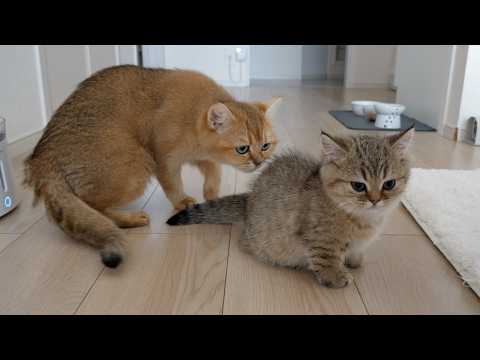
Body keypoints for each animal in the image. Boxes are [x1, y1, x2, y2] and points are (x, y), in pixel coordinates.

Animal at [24, 64, 282, 268]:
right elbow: (172, 184)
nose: (259, 162)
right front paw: (182, 202)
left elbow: (213, 175)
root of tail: (42, 155)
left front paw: (212, 197)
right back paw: (129, 219)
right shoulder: (163, 158)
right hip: (137, 164)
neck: (193, 118)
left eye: (265, 145)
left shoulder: (203, 157)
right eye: (243, 149)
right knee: (91, 204)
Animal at [167, 128, 414, 288]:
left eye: (389, 184)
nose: (375, 200)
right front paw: (335, 275)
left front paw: (354, 260)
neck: (362, 218)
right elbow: (326, 257)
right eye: (358, 186)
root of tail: (249, 200)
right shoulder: (320, 238)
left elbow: (354, 252)